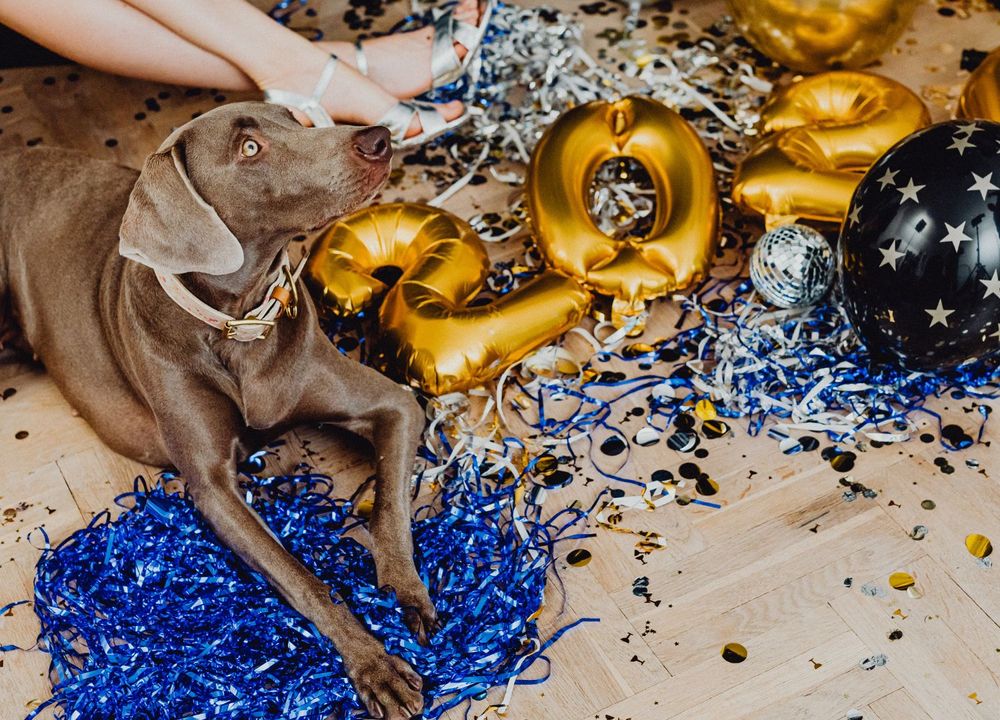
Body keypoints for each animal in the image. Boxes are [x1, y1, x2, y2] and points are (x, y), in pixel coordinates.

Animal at [1, 102, 436, 720]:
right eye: (249, 149)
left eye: (294, 118)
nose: (377, 138)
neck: (238, 324)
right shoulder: (212, 488)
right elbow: (301, 577)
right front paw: (374, 665)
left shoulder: (394, 405)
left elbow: (392, 506)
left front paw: (406, 594)